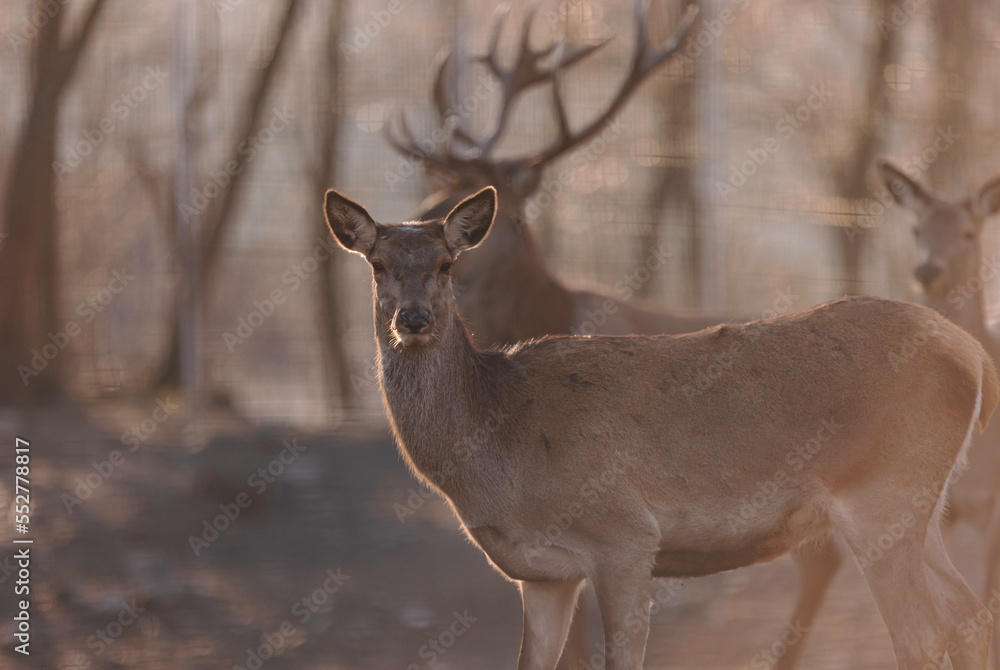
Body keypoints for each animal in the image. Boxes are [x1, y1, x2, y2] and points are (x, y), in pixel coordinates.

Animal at [325, 183, 1000, 670]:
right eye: (378, 265)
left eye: (446, 263)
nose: (413, 318)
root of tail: (970, 352)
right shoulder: (541, 576)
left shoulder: (623, 537)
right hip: (922, 508)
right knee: (969, 616)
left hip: (882, 496)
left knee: (923, 636)